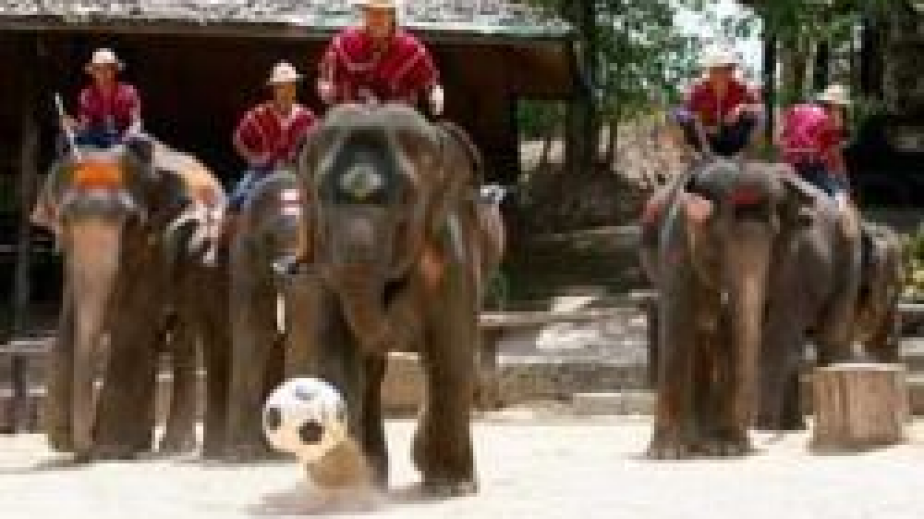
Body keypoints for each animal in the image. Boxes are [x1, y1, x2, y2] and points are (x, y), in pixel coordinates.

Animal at [31, 138, 229, 460]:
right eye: (63, 219)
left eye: (131, 221)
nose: (82, 448)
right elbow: (71, 320)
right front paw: (70, 442)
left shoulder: (157, 245)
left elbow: (132, 321)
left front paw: (109, 449)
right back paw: (141, 445)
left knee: (182, 336)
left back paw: (172, 447)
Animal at [282, 104, 503, 495]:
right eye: (320, 196)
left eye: (406, 198)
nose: (290, 269)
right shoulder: (324, 258)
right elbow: (335, 361)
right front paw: (346, 487)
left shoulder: (452, 244)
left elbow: (451, 352)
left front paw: (452, 488)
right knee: (372, 373)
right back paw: (374, 478)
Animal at [639, 159, 860, 458]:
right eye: (718, 241)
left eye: (774, 235)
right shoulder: (676, 241)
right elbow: (678, 322)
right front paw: (667, 454)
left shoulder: (791, 258)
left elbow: (755, 331)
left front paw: (728, 448)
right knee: (706, 334)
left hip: (850, 252)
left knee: (830, 335)